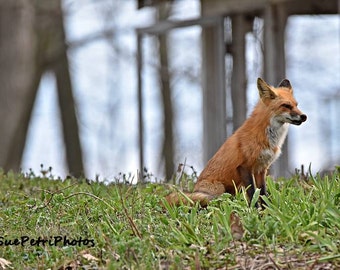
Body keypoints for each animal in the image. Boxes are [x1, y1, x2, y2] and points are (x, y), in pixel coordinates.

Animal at [166, 77, 306, 207]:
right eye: (286, 106)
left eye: (296, 105)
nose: (304, 116)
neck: (269, 139)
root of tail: (194, 189)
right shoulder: (245, 166)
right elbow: (252, 193)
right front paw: (255, 211)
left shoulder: (261, 169)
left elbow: (262, 193)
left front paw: (266, 211)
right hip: (219, 190)